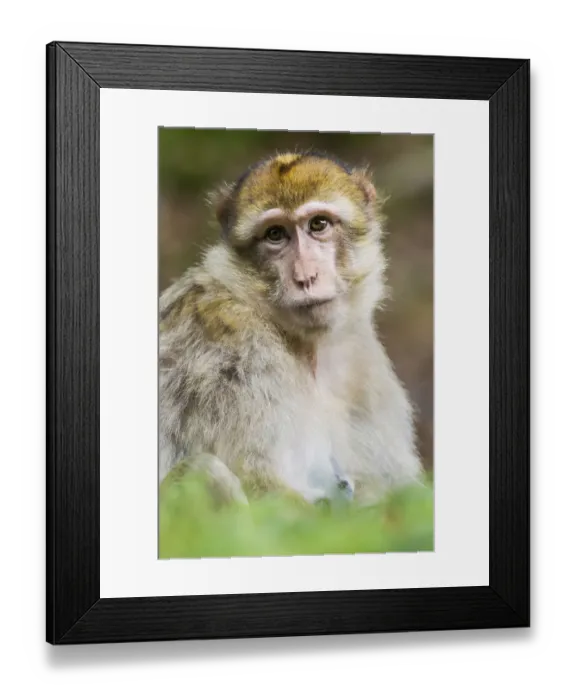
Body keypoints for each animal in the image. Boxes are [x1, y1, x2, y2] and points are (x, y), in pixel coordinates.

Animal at [159, 149, 423, 507]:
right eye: (275, 234)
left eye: (318, 224)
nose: (305, 277)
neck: (306, 349)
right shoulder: (230, 351)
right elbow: (260, 484)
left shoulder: (361, 359)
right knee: (205, 471)